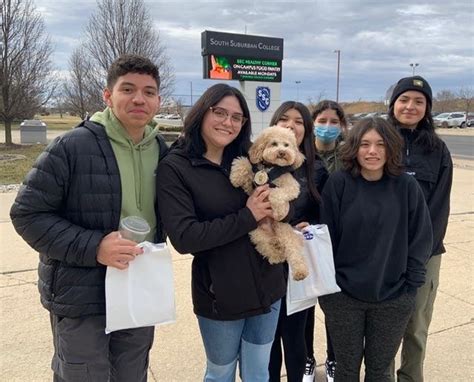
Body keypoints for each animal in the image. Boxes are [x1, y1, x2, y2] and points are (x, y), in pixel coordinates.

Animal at [231, 126, 310, 280]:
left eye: (287, 145)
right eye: (274, 143)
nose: (282, 152)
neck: (270, 168)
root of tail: (274, 233)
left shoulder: (291, 186)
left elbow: (276, 193)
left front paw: (279, 211)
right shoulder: (252, 186)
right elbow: (244, 162)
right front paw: (235, 177)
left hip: (284, 231)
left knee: (294, 251)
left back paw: (300, 271)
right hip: (256, 233)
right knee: (267, 248)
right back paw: (276, 251)